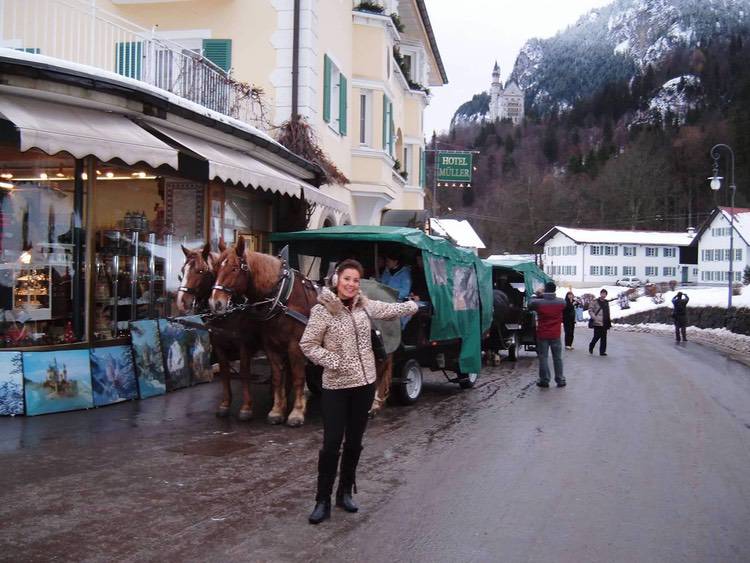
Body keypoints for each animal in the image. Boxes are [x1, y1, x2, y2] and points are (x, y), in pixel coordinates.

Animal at [176, 243, 262, 420]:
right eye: (183, 270)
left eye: (201, 271)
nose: (181, 302)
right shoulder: (218, 344)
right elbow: (224, 372)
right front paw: (225, 404)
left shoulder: (243, 343)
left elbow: (244, 372)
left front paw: (246, 407)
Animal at [209, 237, 318, 427]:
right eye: (216, 268)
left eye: (234, 268)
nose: (216, 303)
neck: (282, 297)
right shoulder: (271, 345)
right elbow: (277, 377)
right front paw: (277, 410)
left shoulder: (295, 345)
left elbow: (298, 377)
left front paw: (296, 413)